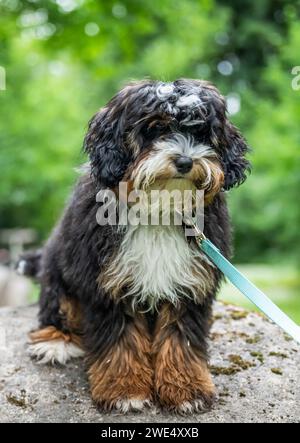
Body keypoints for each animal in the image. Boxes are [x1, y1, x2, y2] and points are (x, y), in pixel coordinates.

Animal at [17, 78, 250, 414]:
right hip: (57, 268)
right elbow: (120, 340)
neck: (159, 207)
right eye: (155, 128)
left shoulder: (189, 283)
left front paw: (186, 389)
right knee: (56, 305)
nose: (185, 161)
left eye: (201, 132)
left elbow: (181, 338)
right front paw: (124, 389)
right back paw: (56, 341)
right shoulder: (107, 282)